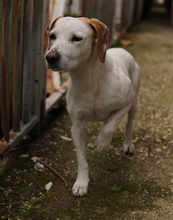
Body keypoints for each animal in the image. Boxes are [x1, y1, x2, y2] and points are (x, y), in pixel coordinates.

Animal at [44, 16, 141, 196]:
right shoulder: (76, 127)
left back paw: (127, 144)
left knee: (128, 123)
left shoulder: (127, 101)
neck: (88, 81)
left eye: (77, 38)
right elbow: (82, 160)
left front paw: (102, 143)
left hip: (134, 104)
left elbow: (111, 127)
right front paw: (82, 183)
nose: (50, 57)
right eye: (52, 36)